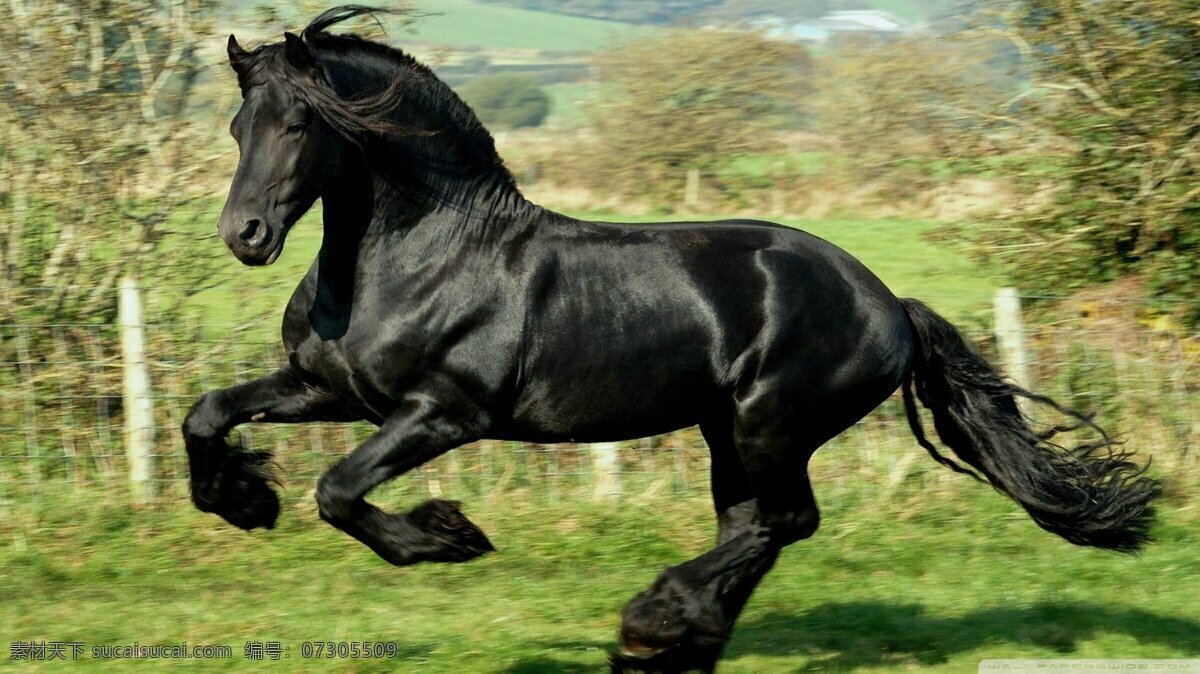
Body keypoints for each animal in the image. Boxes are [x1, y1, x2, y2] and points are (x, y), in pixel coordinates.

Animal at [187, 7, 1161, 666]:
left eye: (301, 124)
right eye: (237, 125)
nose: (246, 237)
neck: (423, 254)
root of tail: (888, 301)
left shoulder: (444, 414)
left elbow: (339, 491)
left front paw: (447, 537)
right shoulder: (331, 389)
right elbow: (208, 414)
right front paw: (242, 501)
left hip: (772, 423)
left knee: (785, 521)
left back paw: (652, 622)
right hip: (726, 431)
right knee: (755, 528)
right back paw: (678, 644)